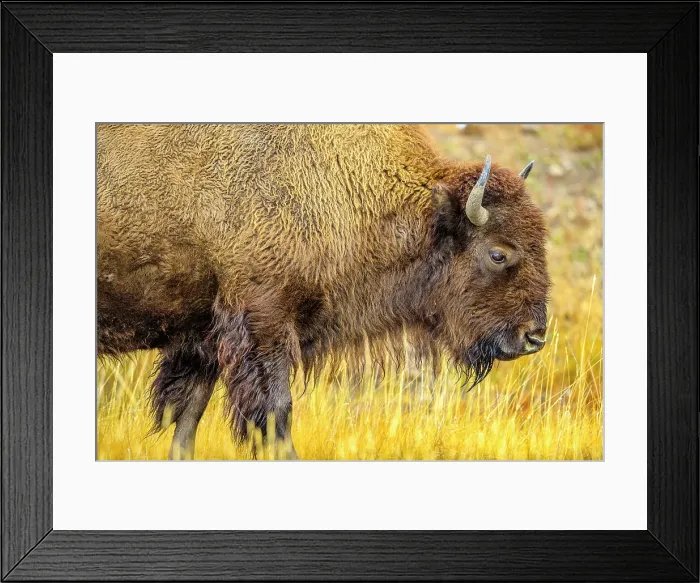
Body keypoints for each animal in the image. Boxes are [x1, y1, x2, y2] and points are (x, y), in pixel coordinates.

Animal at [97, 124, 550, 459]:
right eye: (498, 253)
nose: (534, 335)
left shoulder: (205, 339)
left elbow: (187, 420)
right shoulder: (264, 323)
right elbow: (276, 415)